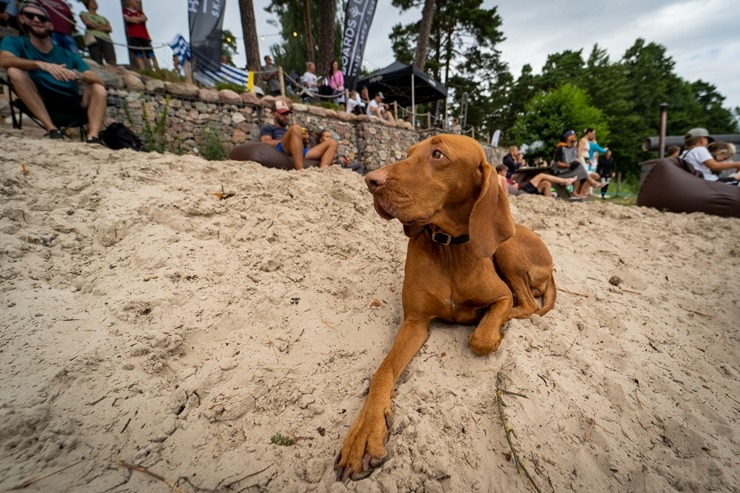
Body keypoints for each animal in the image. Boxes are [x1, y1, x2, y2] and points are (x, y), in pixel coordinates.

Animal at [336, 135, 520, 480]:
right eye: (408, 153)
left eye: (437, 154)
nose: (370, 181)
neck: (448, 248)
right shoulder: (414, 323)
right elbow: (383, 371)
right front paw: (365, 433)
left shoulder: (502, 297)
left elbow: (482, 338)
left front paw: (490, 329)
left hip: (509, 252)